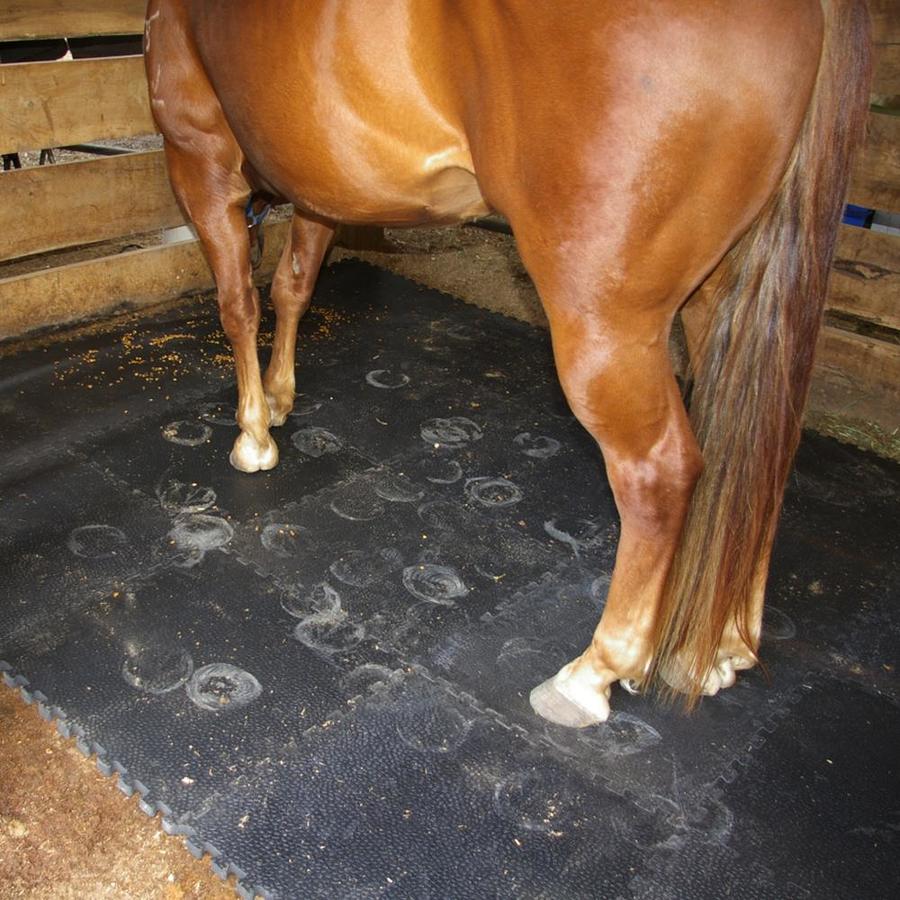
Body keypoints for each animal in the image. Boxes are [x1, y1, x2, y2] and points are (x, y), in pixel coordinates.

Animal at [146, 0, 872, 728]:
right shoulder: (319, 183)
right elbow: (293, 289)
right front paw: (277, 398)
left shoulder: (199, 158)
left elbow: (239, 306)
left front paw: (252, 434)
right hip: (723, 290)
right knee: (759, 448)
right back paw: (724, 646)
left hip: (602, 317)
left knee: (660, 472)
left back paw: (593, 673)